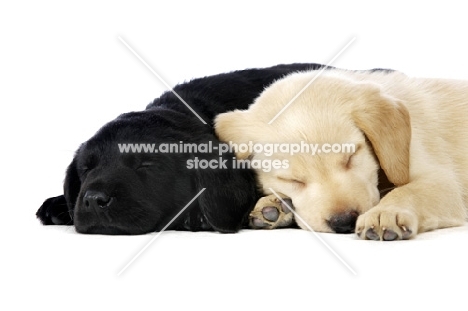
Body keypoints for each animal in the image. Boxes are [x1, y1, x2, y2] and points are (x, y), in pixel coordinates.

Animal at [216, 70, 468, 241]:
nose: (344, 221)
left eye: (351, 157)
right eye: (292, 180)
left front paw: (385, 212)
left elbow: (409, 191)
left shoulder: (441, 181)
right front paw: (273, 206)